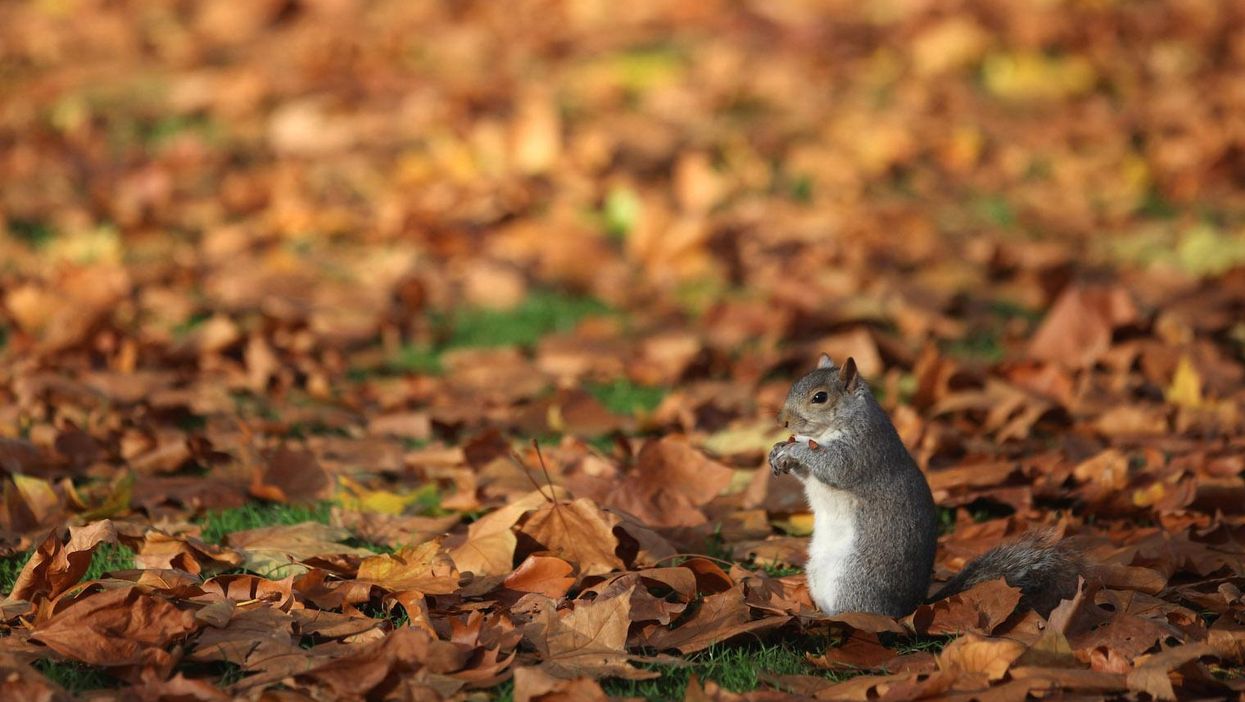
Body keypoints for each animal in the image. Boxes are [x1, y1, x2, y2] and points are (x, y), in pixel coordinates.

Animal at [766, 353, 1080, 617]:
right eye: (795, 384)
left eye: (820, 397)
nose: (782, 421)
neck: (826, 432)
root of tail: (910, 607)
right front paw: (778, 450)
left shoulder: (863, 449)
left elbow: (836, 467)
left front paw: (795, 451)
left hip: (854, 580)